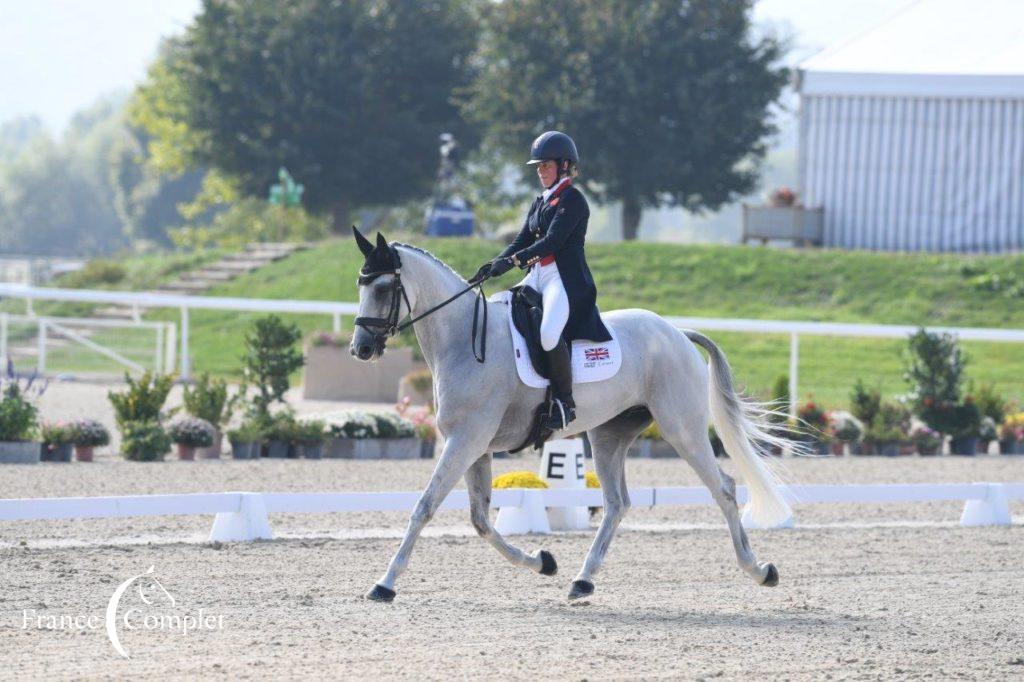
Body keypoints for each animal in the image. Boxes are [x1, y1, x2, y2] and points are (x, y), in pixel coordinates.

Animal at [352, 229, 790, 602]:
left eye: (384, 287)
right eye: (361, 285)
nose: (361, 349)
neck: (464, 340)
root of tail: (678, 333)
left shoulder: (467, 440)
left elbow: (425, 506)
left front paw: (384, 583)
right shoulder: (474, 445)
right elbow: (480, 519)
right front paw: (542, 562)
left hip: (681, 429)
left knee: (724, 489)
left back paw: (760, 570)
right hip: (609, 434)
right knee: (616, 503)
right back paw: (582, 580)